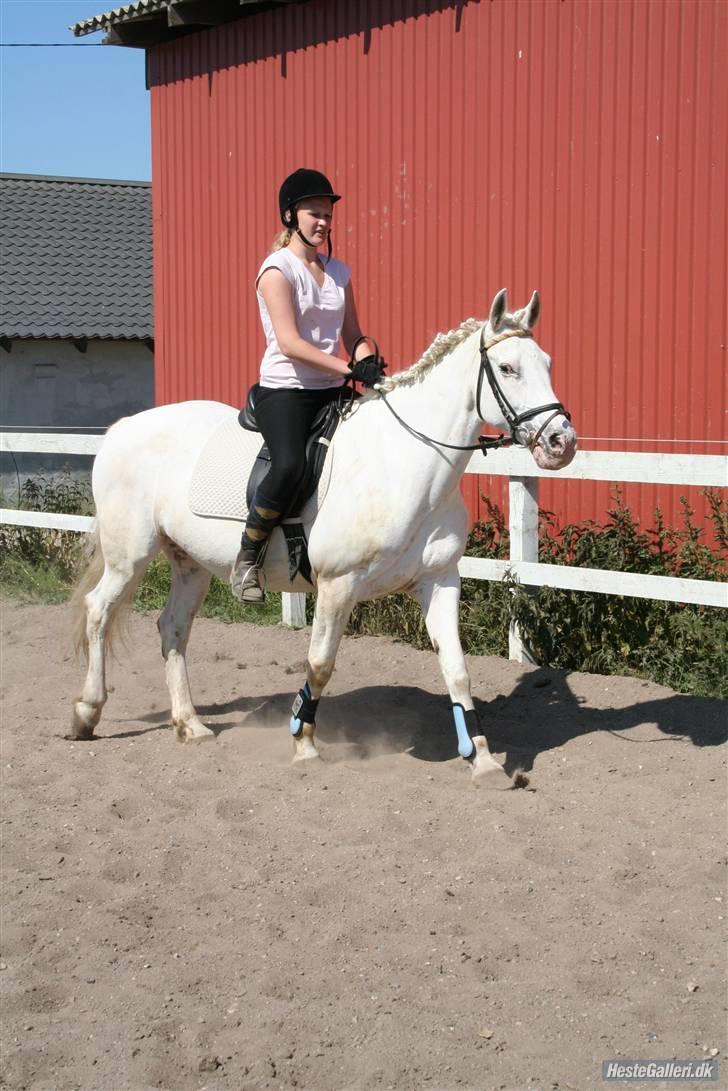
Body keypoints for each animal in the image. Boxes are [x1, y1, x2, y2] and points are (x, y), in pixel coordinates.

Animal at [70, 290, 576, 785]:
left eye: (549, 363)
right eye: (507, 368)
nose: (562, 443)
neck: (405, 461)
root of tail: (122, 428)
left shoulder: (439, 579)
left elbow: (458, 670)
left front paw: (484, 761)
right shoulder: (338, 584)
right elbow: (320, 663)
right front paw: (303, 743)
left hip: (189, 563)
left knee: (172, 628)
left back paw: (189, 725)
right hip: (129, 556)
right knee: (98, 610)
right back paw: (86, 714)